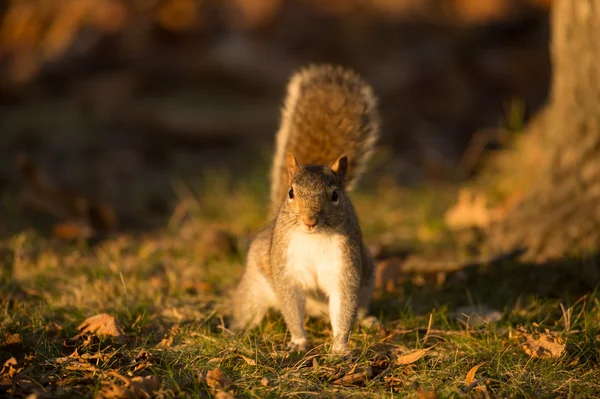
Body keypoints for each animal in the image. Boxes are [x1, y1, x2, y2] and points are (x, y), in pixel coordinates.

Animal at [230, 65, 380, 356]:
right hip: (255, 284)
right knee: (249, 305)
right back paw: (236, 328)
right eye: (291, 193)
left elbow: (344, 307)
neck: (314, 238)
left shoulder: (344, 268)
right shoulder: (285, 270)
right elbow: (290, 305)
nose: (310, 220)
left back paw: (368, 320)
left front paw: (341, 347)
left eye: (335, 195)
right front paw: (299, 341)